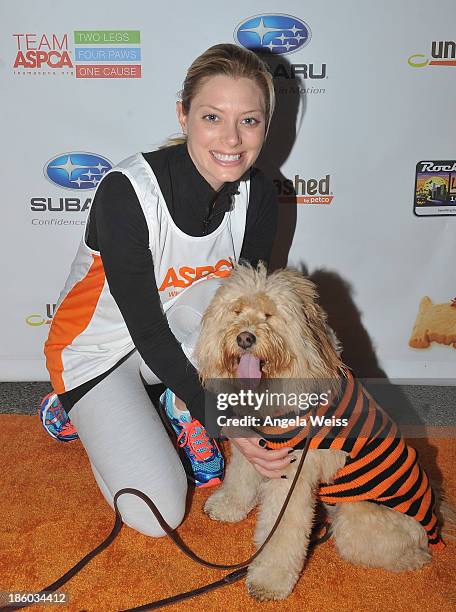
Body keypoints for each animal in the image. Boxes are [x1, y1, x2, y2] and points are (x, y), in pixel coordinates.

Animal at [194, 264, 448, 604]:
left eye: (270, 314)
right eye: (236, 310)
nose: (245, 337)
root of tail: (434, 517)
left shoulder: (292, 477)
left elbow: (282, 534)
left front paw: (269, 581)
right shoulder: (259, 445)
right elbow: (240, 478)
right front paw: (227, 506)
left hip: (356, 518)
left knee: (406, 554)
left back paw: (416, 556)